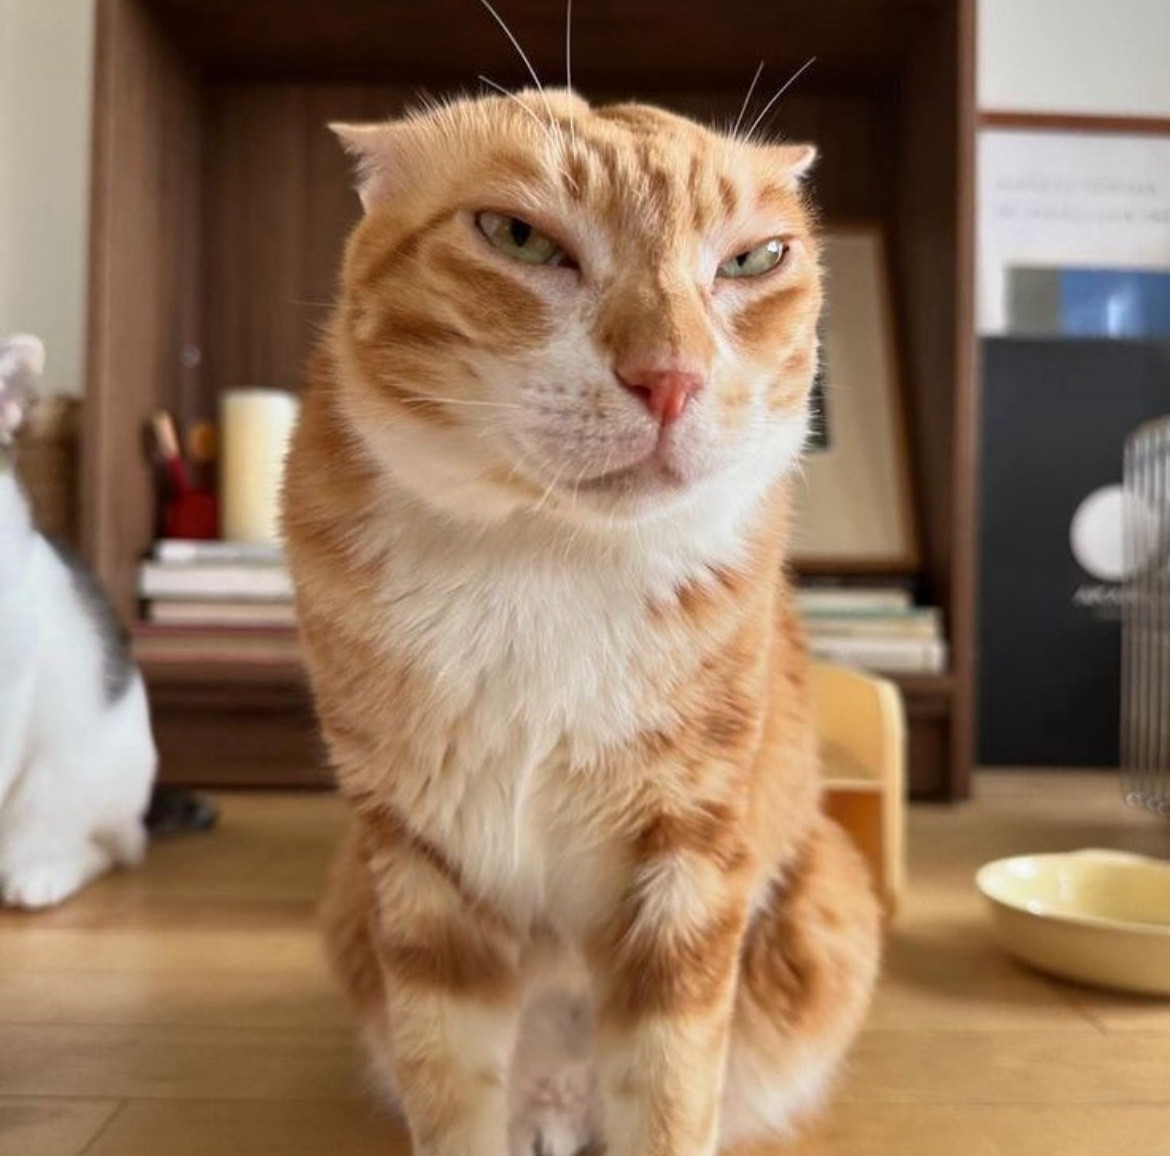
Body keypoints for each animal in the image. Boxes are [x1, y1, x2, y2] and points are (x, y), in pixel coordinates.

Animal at [283, 90, 879, 1156]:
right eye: (518, 236)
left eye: (752, 260)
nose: (670, 377)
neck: (545, 559)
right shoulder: (418, 866)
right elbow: (448, 1082)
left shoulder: (690, 857)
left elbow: (671, 1085)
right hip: (355, 890)